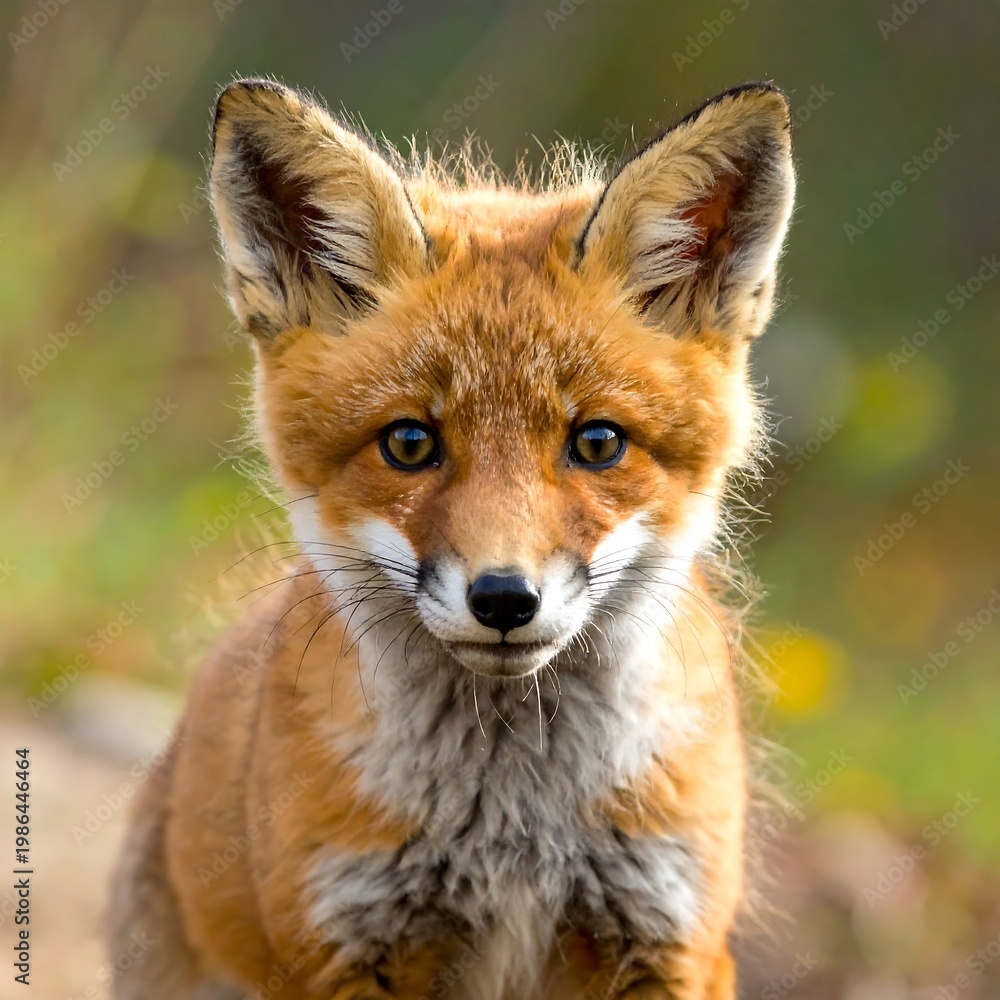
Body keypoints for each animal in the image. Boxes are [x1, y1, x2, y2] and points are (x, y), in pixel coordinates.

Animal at [108, 77, 795, 1000]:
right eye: (409, 443)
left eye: (598, 443)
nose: (504, 598)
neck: (513, 823)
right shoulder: (341, 943)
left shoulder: (669, 934)